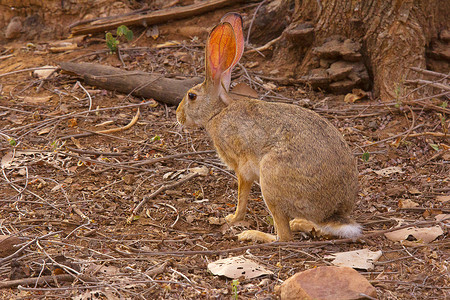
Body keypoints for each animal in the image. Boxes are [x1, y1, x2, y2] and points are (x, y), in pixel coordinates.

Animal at [176, 14, 362, 243]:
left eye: (191, 96)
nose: (178, 116)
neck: (218, 112)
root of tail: (333, 212)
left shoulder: (242, 168)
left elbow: (242, 196)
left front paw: (232, 218)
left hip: (270, 179)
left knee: (284, 237)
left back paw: (253, 234)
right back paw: (300, 223)